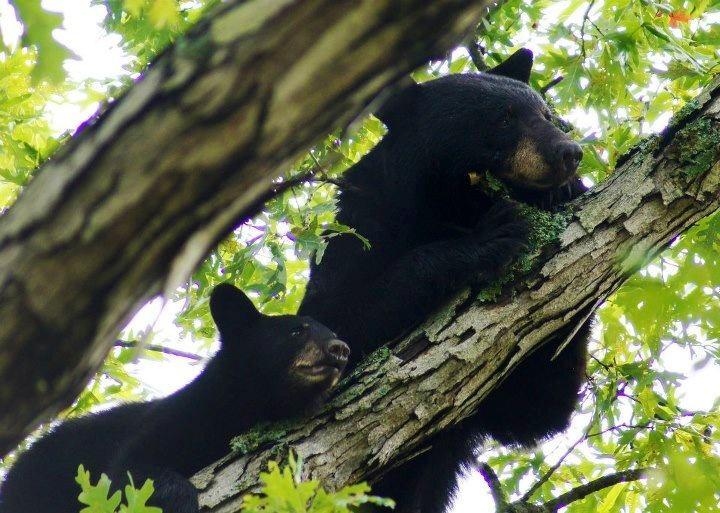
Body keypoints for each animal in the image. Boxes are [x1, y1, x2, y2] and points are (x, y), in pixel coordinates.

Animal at [0, 284, 350, 513]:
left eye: (331, 331)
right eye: (297, 330)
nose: (340, 349)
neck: (243, 405)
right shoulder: (180, 416)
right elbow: (131, 467)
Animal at [298, 48, 590, 513]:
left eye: (546, 113)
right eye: (504, 118)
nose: (570, 152)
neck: (452, 204)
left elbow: (536, 408)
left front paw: (565, 192)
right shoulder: (359, 233)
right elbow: (344, 321)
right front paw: (487, 239)